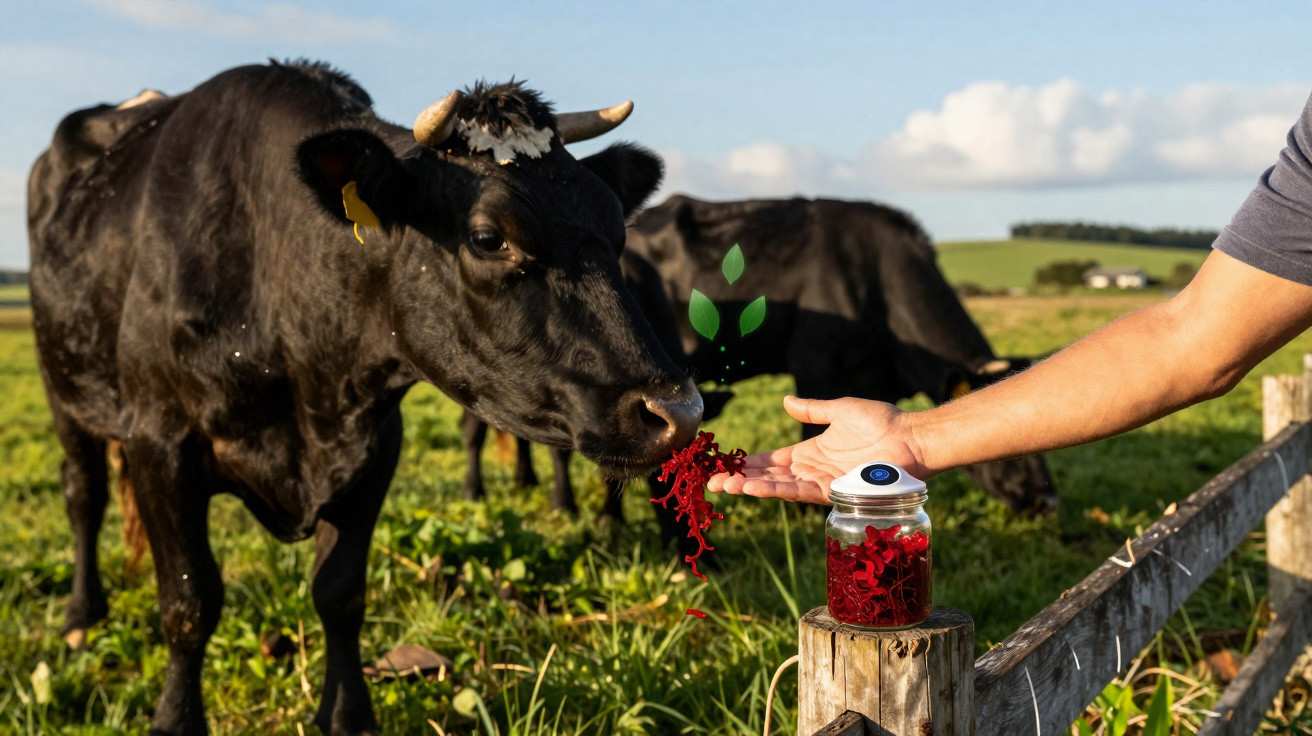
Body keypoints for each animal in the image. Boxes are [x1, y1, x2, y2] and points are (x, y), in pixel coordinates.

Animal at [28, 61, 703, 735]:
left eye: (617, 231)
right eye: (489, 238)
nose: (678, 411)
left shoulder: (374, 444)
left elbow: (341, 593)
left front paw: (348, 714)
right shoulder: (161, 444)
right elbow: (190, 603)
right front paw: (175, 719)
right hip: (64, 389)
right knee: (83, 494)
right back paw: (81, 615)